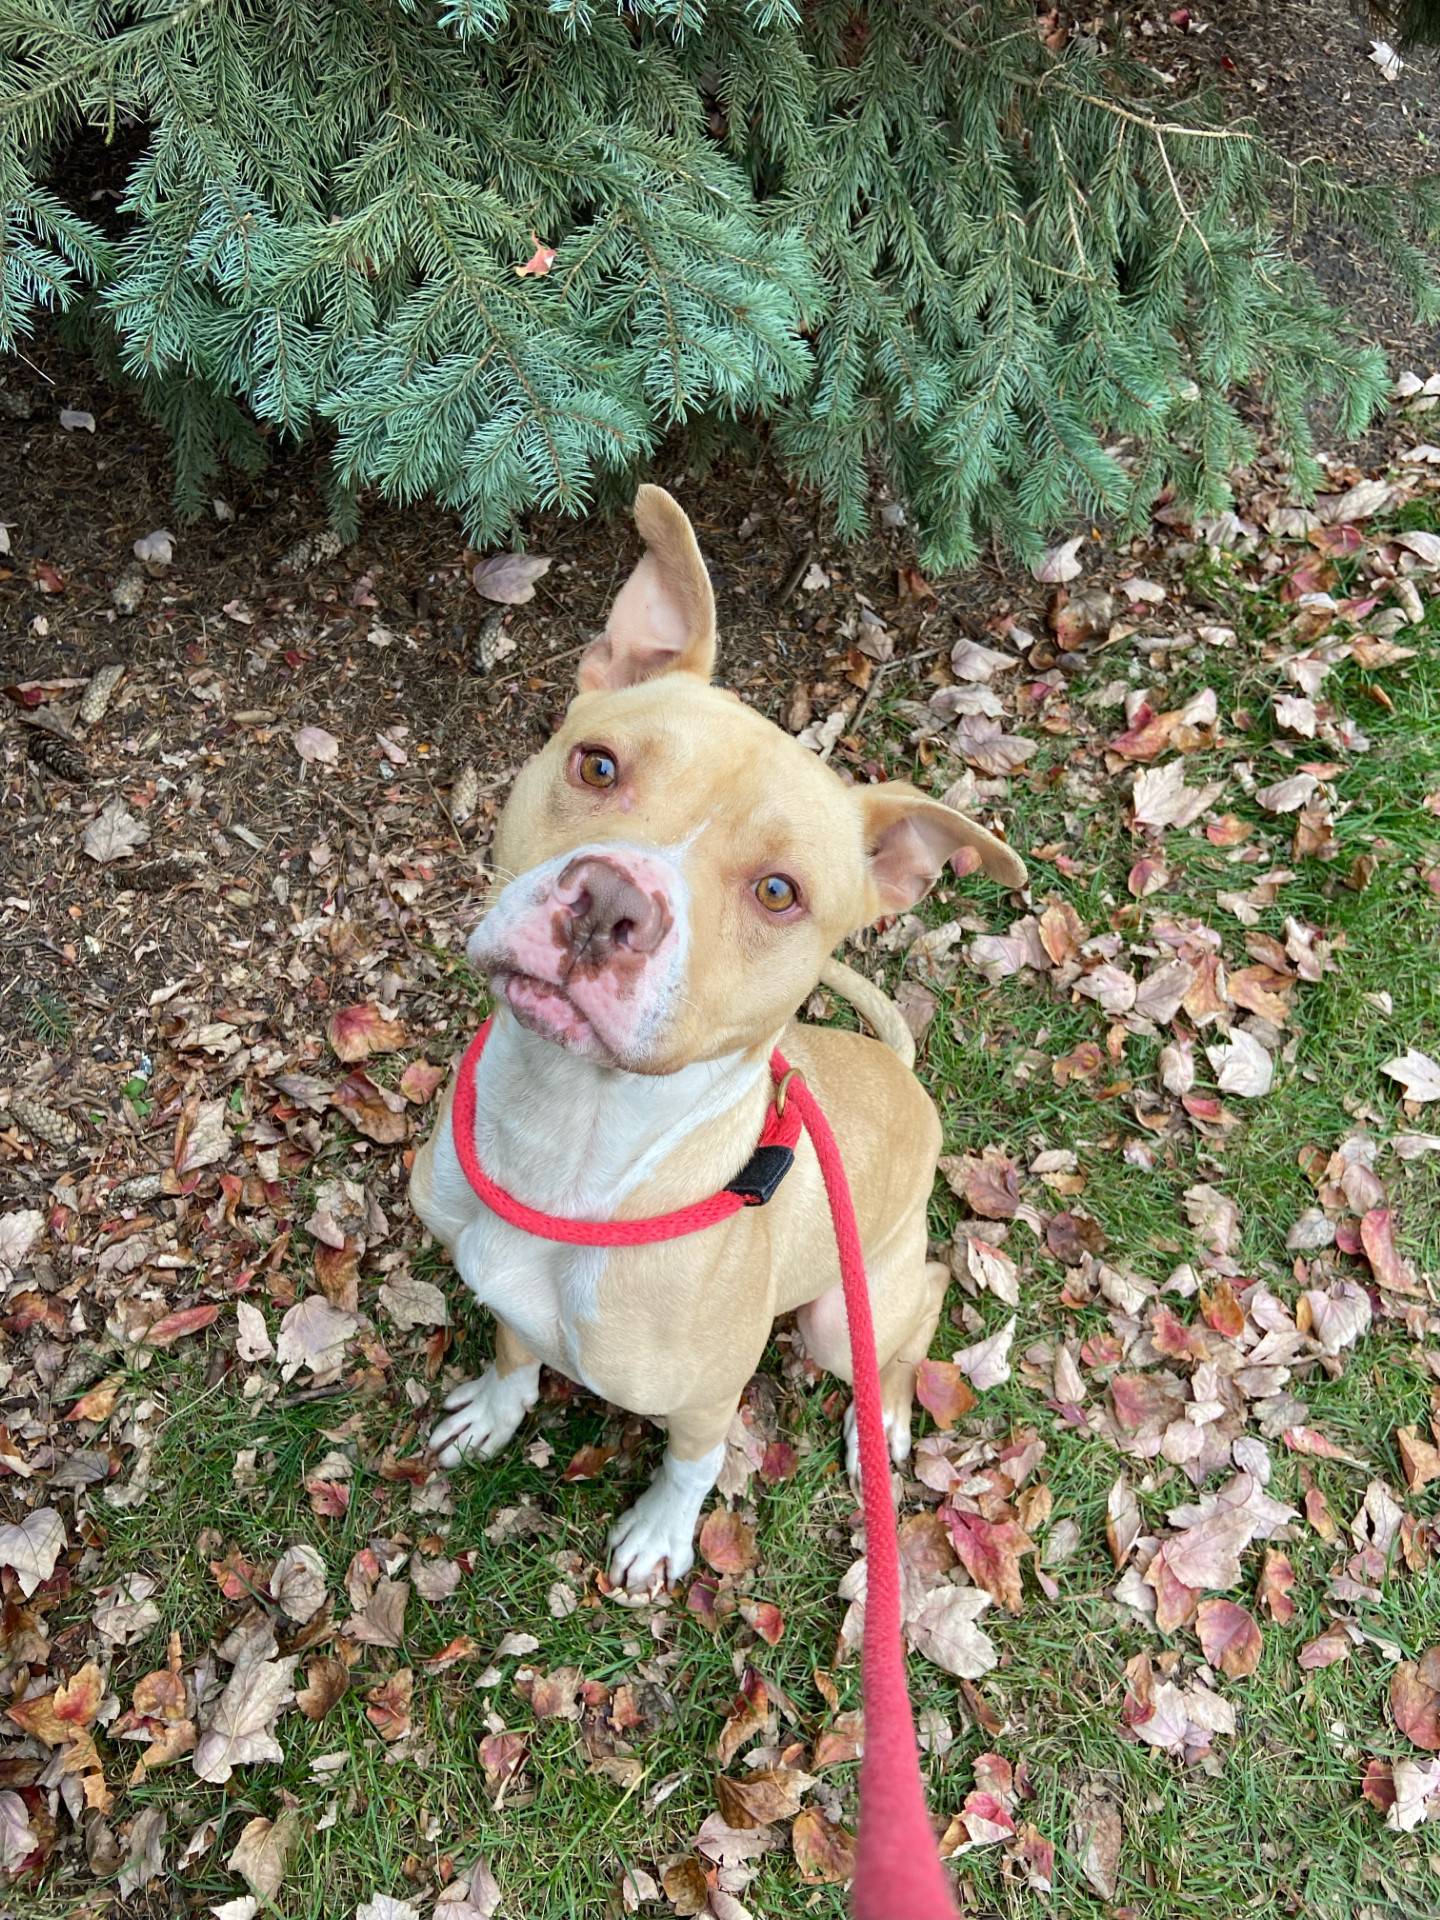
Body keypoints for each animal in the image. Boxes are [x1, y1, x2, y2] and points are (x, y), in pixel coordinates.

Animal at [408, 491, 1029, 1589]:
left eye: (779, 892)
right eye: (597, 764)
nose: (609, 903)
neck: (569, 1133)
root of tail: (901, 1071)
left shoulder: (704, 1398)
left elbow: (692, 1464)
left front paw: (660, 1532)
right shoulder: (504, 1297)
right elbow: (515, 1350)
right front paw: (495, 1407)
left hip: (840, 1318)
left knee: (918, 1309)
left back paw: (890, 1420)